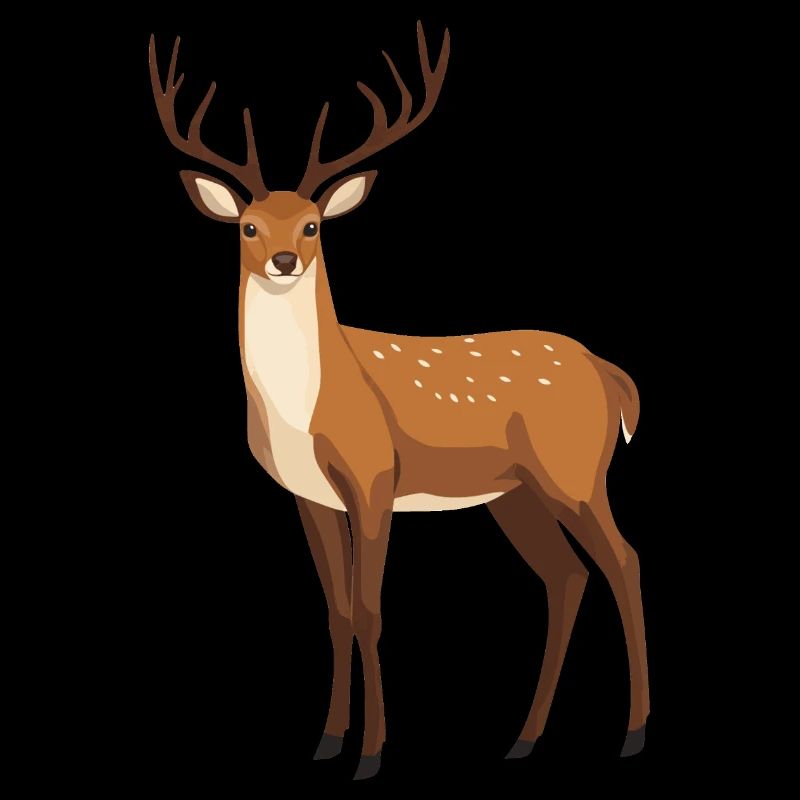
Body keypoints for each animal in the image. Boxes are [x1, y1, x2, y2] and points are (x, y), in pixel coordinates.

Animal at [149, 25, 649, 780]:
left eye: (313, 226)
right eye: (248, 227)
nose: (284, 262)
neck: (307, 409)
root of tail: (608, 372)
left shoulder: (374, 475)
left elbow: (371, 609)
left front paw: (372, 754)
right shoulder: (308, 495)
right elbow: (335, 611)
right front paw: (328, 741)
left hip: (574, 471)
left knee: (623, 561)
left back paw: (634, 733)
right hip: (515, 493)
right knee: (565, 575)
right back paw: (523, 738)